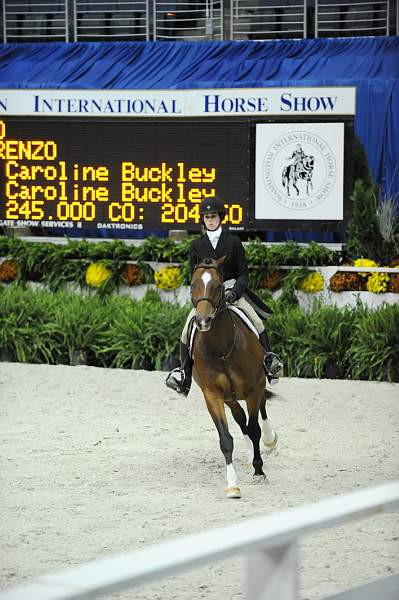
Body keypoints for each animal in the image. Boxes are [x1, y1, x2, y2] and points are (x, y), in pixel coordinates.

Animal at [191, 258, 278, 496]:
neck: (221, 348)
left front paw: (259, 471)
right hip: (230, 397)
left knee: (261, 410)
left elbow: (255, 429)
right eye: (192, 285)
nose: (203, 321)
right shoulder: (213, 395)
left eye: (219, 287)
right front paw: (232, 484)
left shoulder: (253, 388)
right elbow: (226, 438)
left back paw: (270, 440)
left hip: (257, 384)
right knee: (240, 419)